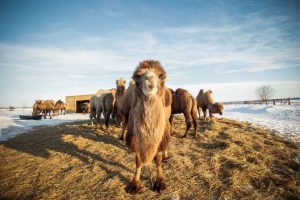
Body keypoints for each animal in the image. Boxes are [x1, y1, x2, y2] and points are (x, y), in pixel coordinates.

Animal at [125, 59, 171, 194]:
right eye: (138, 76)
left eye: (161, 76)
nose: (149, 78)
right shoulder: (135, 137)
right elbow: (138, 161)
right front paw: (134, 184)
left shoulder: (160, 134)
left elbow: (158, 160)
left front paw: (160, 183)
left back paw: (166, 156)